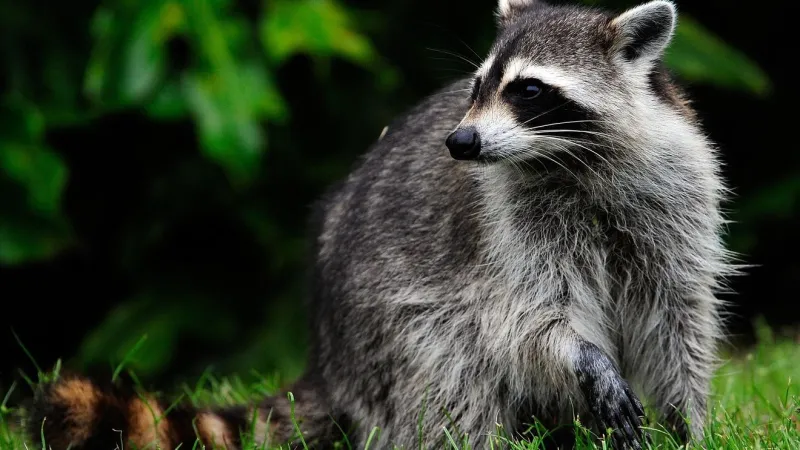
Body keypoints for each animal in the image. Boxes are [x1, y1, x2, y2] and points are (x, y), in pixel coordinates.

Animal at [26, 1, 733, 449]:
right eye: (476, 86)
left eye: (528, 90)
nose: (461, 141)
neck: (570, 158)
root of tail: (327, 359)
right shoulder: (507, 229)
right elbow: (526, 322)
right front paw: (585, 359)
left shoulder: (676, 196)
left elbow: (679, 316)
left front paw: (688, 424)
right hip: (384, 326)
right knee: (450, 371)